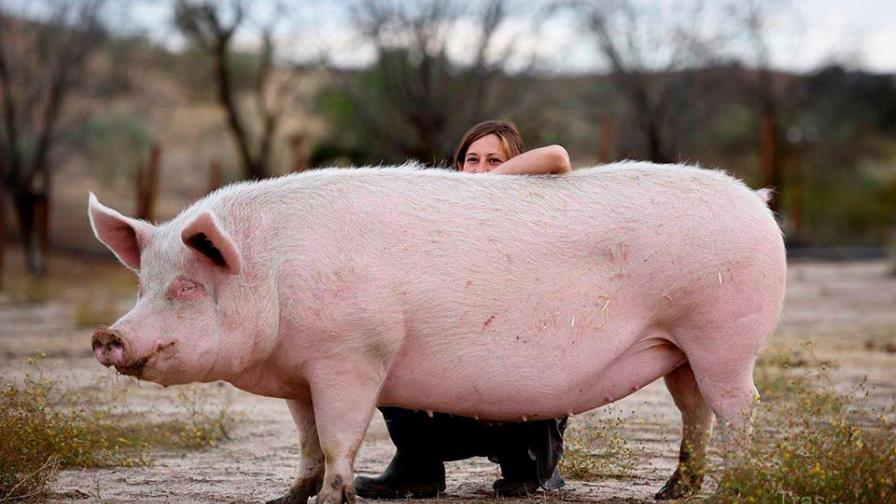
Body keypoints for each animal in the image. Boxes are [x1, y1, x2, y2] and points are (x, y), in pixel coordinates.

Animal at [88, 161, 786, 503]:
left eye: (186, 287)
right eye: (144, 283)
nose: (107, 336)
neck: (273, 272)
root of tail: (757, 202)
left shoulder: (352, 356)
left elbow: (339, 439)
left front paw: (334, 499)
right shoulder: (300, 376)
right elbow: (307, 443)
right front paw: (286, 500)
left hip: (723, 336)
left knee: (738, 408)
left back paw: (737, 487)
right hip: (678, 350)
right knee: (694, 412)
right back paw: (671, 493)